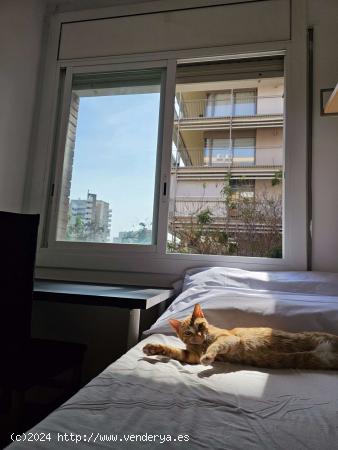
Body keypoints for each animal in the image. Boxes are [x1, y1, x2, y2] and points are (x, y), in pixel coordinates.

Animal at [143, 302, 338, 370]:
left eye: (200, 325)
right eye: (188, 332)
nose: (198, 334)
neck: (202, 343)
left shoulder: (230, 339)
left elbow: (215, 346)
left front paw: (209, 356)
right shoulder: (192, 356)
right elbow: (173, 351)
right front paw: (153, 349)